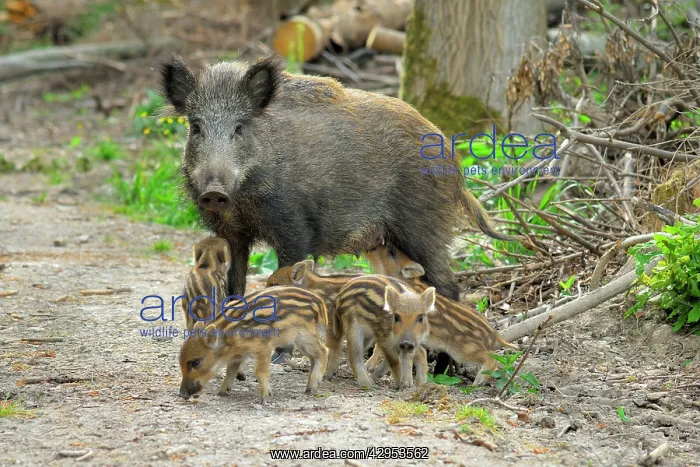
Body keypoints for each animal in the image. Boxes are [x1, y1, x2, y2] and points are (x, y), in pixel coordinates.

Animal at [159, 53, 509, 363]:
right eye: (195, 127)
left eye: (240, 127)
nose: (213, 192)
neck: (245, 196)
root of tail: (453, 161)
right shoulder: (231, 233)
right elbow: (235, 287)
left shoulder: (294, 228)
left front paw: (280, 357)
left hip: (424, 227)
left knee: (448, 287)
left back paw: (443, 366)